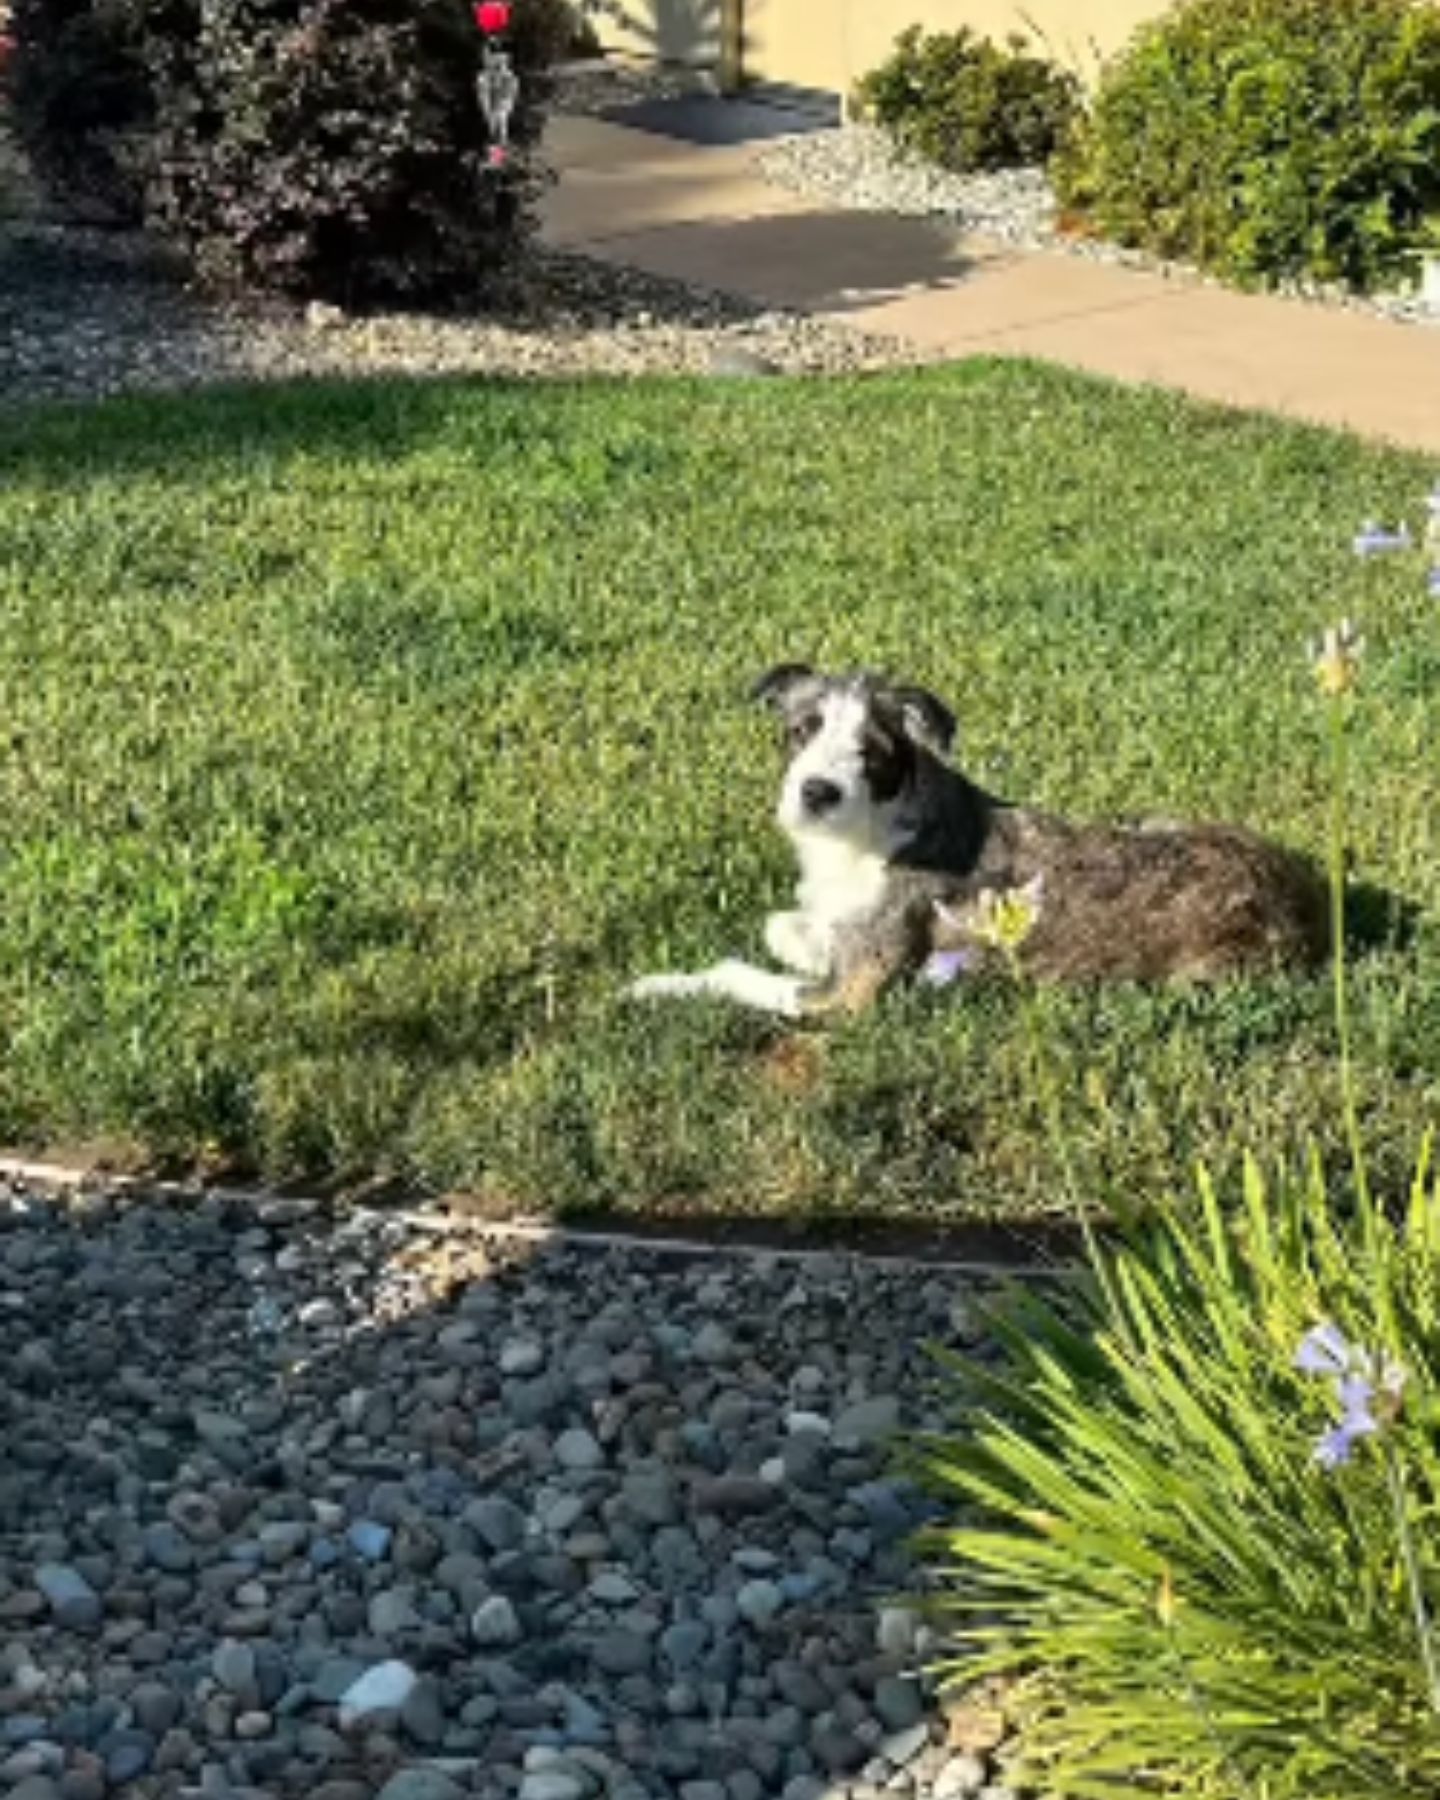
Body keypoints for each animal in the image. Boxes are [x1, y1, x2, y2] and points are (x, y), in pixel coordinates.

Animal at [630, 669, 1324, 1022]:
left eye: (873, 753)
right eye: (801, 730)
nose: (817, 792)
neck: (868, 831)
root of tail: (1310, 901)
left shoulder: (848, 995)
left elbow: (738, 974)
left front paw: (655, 985)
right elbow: (783, 924)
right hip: (1153, 820)